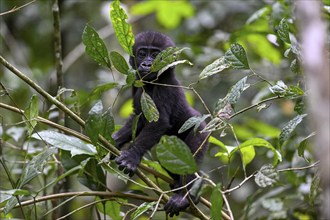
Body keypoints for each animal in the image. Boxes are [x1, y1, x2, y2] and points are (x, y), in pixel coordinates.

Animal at [112, 31, 208, 217]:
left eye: (156, 55)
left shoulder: (165, 88)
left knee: (190, 159)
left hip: (201, 132)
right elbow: (137, 119)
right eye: (142, 53)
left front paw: (132, 156)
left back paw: (184, 196)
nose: (147, 64)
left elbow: (158, 123)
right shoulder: (136, 85)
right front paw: (112, 140)